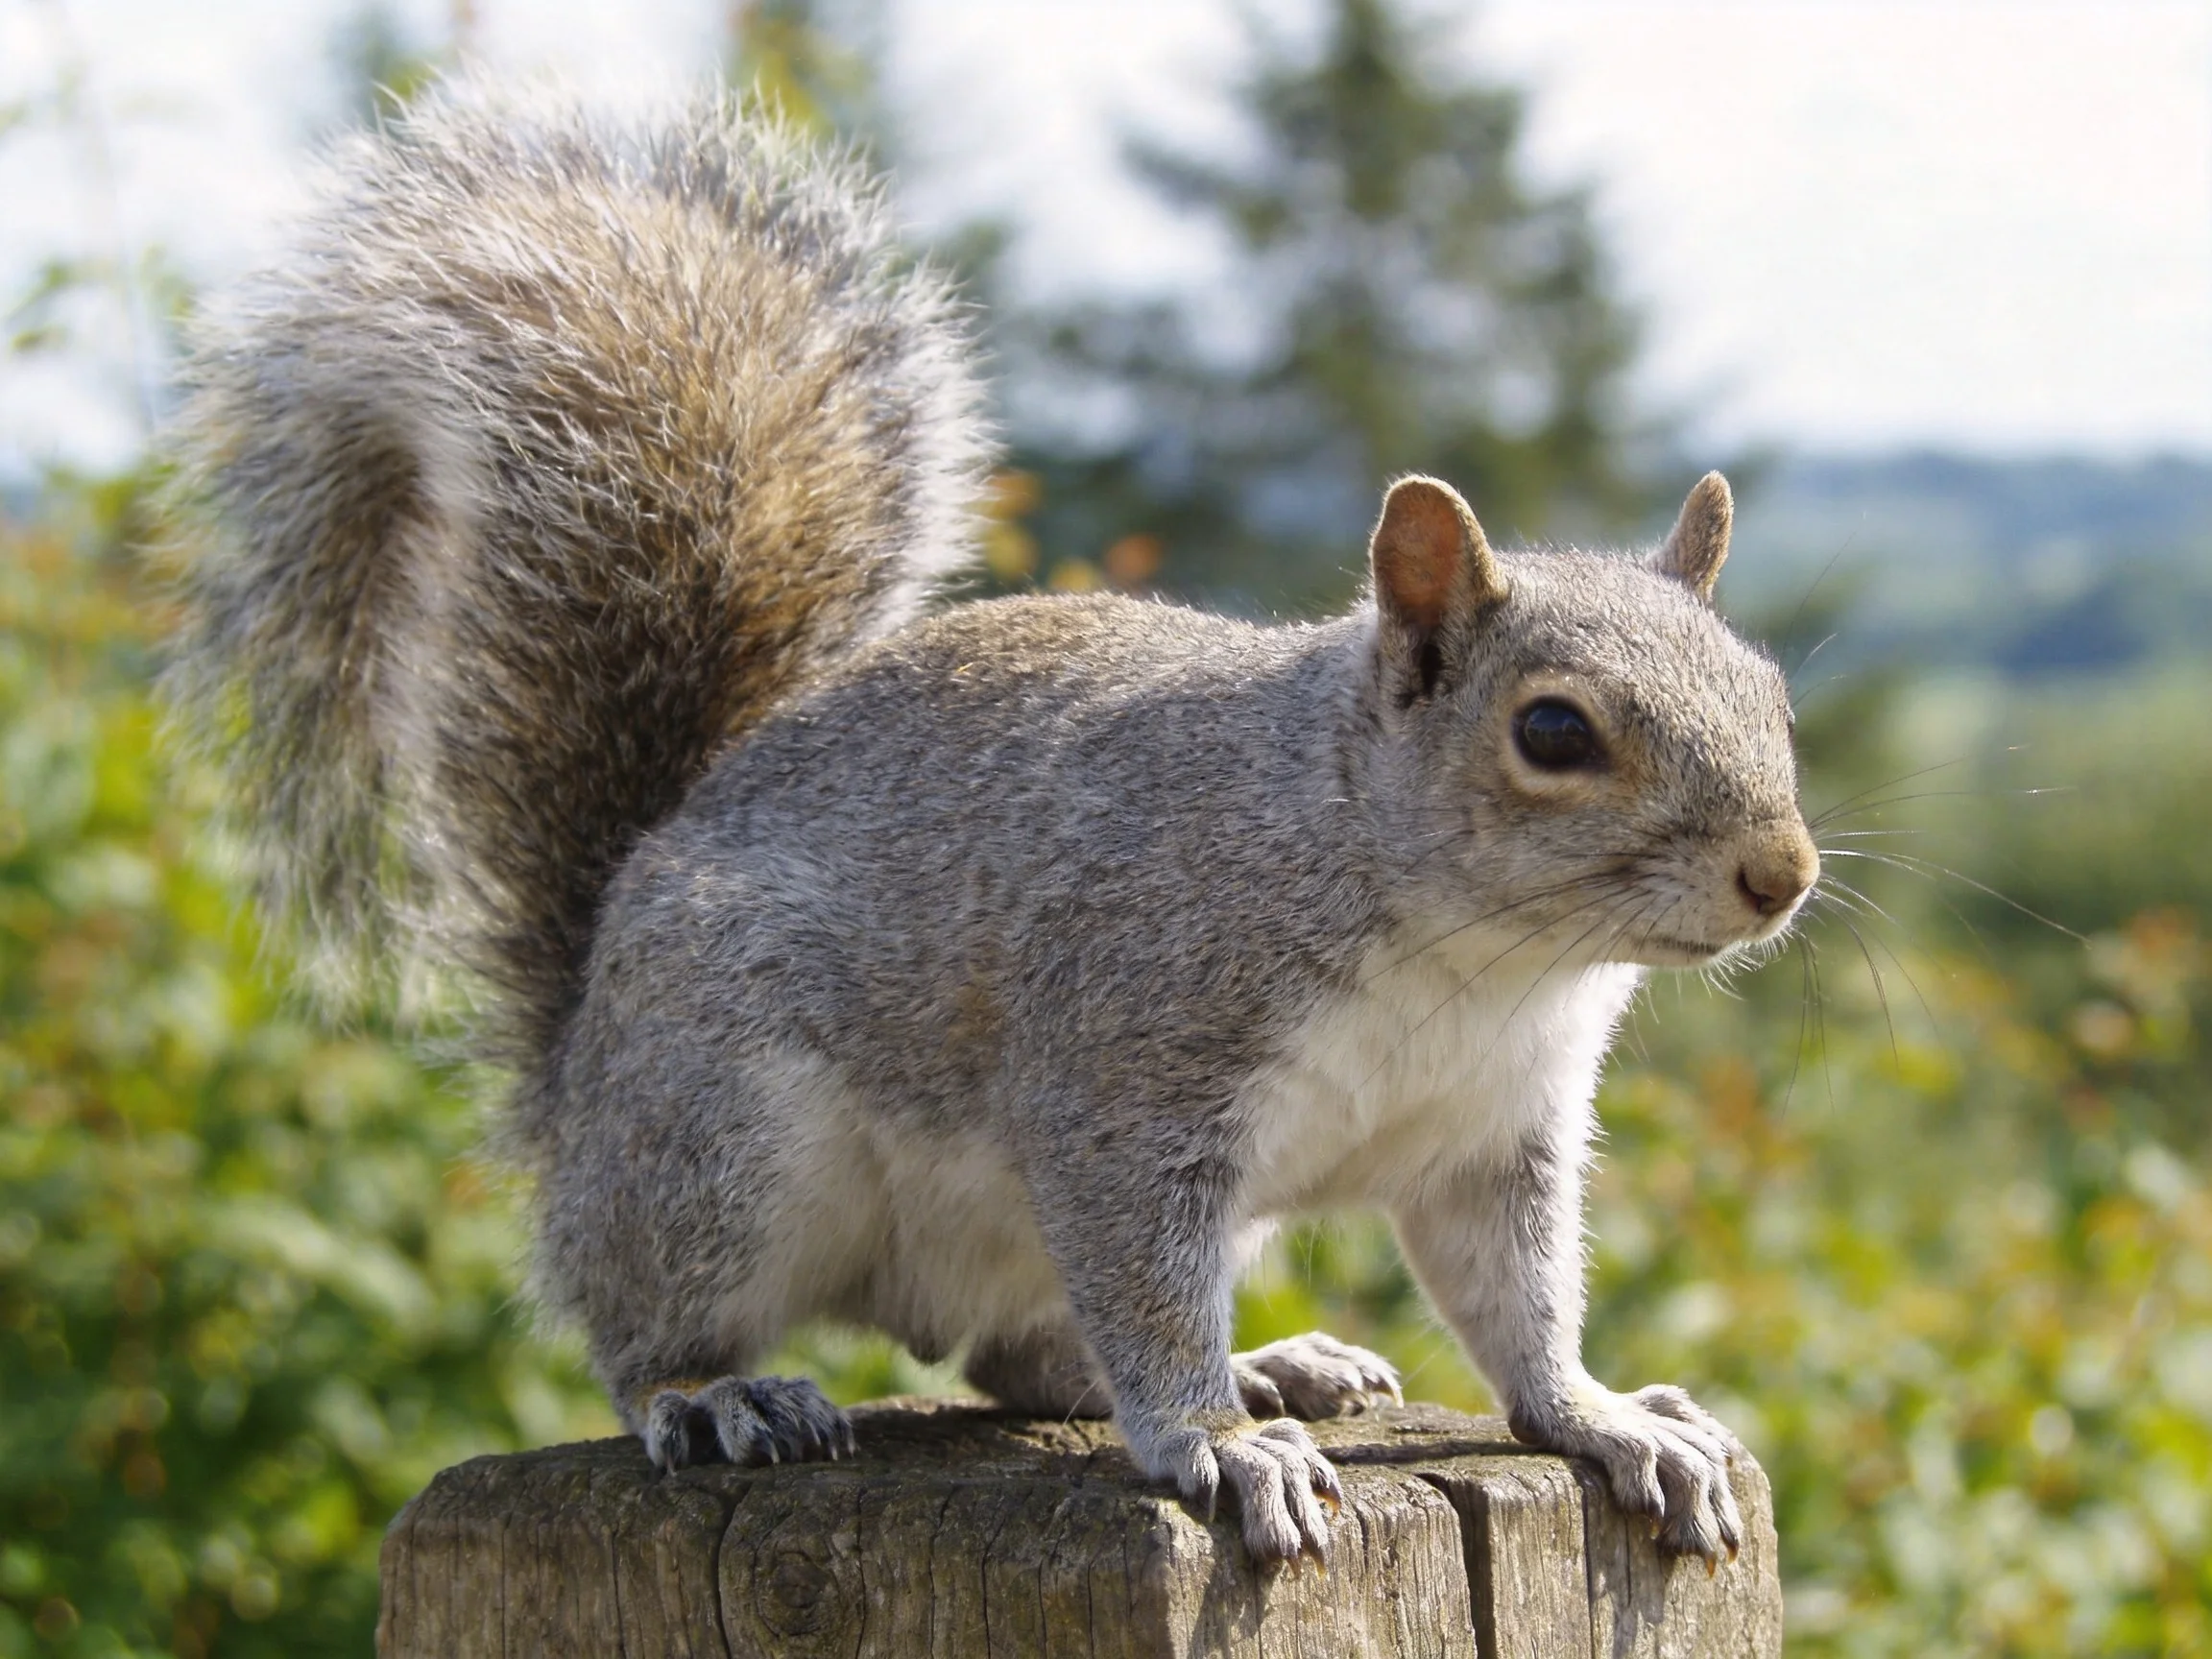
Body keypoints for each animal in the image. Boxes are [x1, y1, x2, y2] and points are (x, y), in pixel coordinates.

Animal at [165, 89, 1818, 1571]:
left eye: (1774, 695)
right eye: (1553, 733)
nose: (1782, 874)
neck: (1468, 954)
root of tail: (573, 1071)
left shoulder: (1495, 1136)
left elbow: (1518, 1308)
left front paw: (1606, 1419)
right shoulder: (1126, 1069)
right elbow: (1145, 1282)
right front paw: (1214, 1445)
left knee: (1018, 1357)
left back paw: (1274, 1368)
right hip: (719, 1138)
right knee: (646, 1325)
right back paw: (726, 1393)